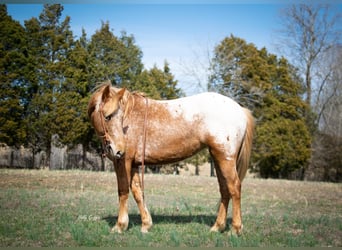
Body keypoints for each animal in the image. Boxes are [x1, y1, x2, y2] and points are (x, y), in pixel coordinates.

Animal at [87, 81, 254, 235]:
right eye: (108, 117)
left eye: (115, 117)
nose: (119, 149)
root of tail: (239, 109)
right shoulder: (133, 164)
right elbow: (137, 192)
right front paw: (146, 224)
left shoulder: (122, 161)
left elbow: (123, 191)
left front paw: (120, 226)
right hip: (218, 158)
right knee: (225, 190)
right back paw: (217, 227)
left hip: (225, 158)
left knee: (234, 188)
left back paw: (235, 229)